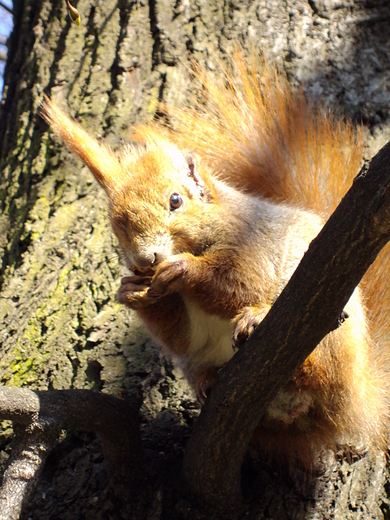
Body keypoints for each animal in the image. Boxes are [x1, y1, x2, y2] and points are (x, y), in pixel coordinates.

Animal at [39, 51, 390, 468]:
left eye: (175, 201)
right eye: (117, 226)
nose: (144, 260)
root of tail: (357, 399)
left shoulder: (255, 245)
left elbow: (242, 282)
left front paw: (183, 269)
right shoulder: (185, 327)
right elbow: (180, 335)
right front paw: (132, 292)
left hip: (331, 330)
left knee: (320, 374)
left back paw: (268, 333)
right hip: (204, 368)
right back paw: (210, 380)